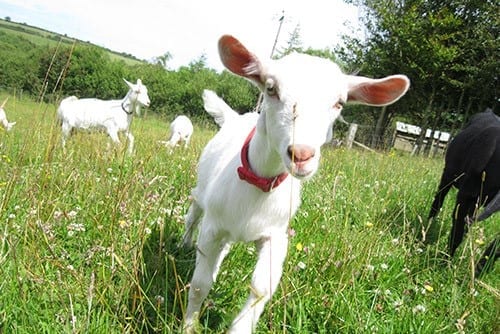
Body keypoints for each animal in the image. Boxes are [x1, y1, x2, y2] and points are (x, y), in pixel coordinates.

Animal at [181, 33, 410, 332]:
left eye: (339, 103)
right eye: (271, 88)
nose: (301, 154)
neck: (258, 183)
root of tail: (236, 117)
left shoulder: (276, 235)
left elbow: (261, 289)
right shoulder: (213, 226)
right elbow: (199, 284)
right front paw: (188, 325)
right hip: (201, 195)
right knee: (192, 216)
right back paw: (185, 243)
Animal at [428, 108, 498, 276]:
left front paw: (479, 272)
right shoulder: (466, 195)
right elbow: (457, 232)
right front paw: (445, 264)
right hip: (448, 175)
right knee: (438, 202)